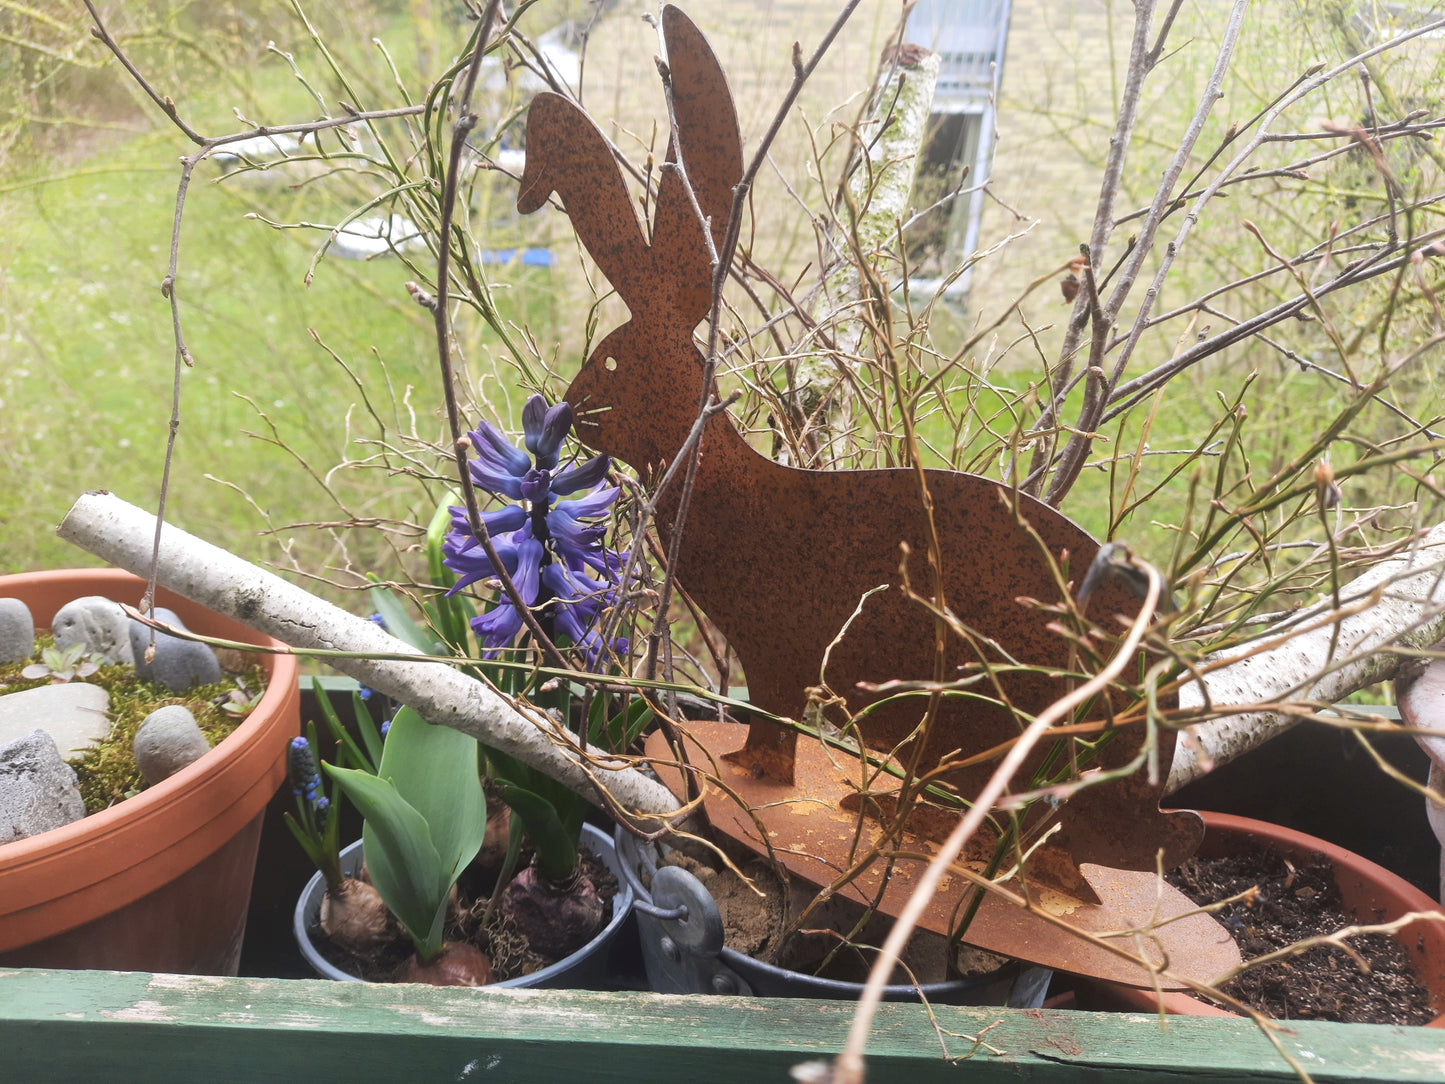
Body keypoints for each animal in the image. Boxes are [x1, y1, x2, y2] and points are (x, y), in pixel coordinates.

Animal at [518, 5, 1200, 874]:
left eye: (608, 359)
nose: (564, 409)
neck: (729, 482)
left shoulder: (776, 655)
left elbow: (769, 736)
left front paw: (742, 775)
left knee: (1024, 835)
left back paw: (898, 819)